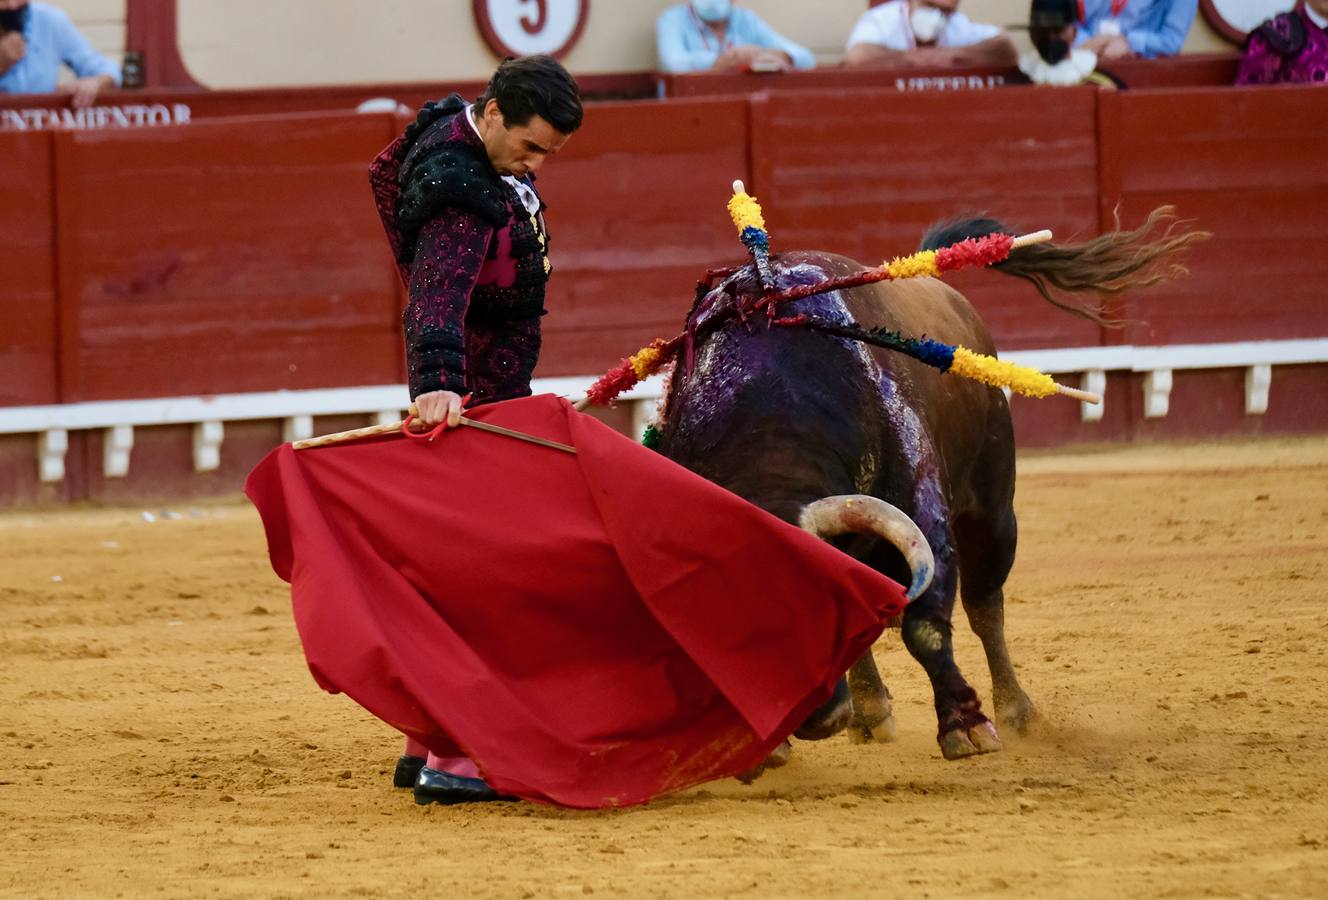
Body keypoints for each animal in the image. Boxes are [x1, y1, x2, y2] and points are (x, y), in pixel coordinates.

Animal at [653, 209, 1205, 759]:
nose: (811, 719)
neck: (773, 420)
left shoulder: (925, 512)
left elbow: (926, 627)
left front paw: (966, 726)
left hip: (993, 509)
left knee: (985, 606)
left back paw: (1016, 711)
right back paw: (872, 711)